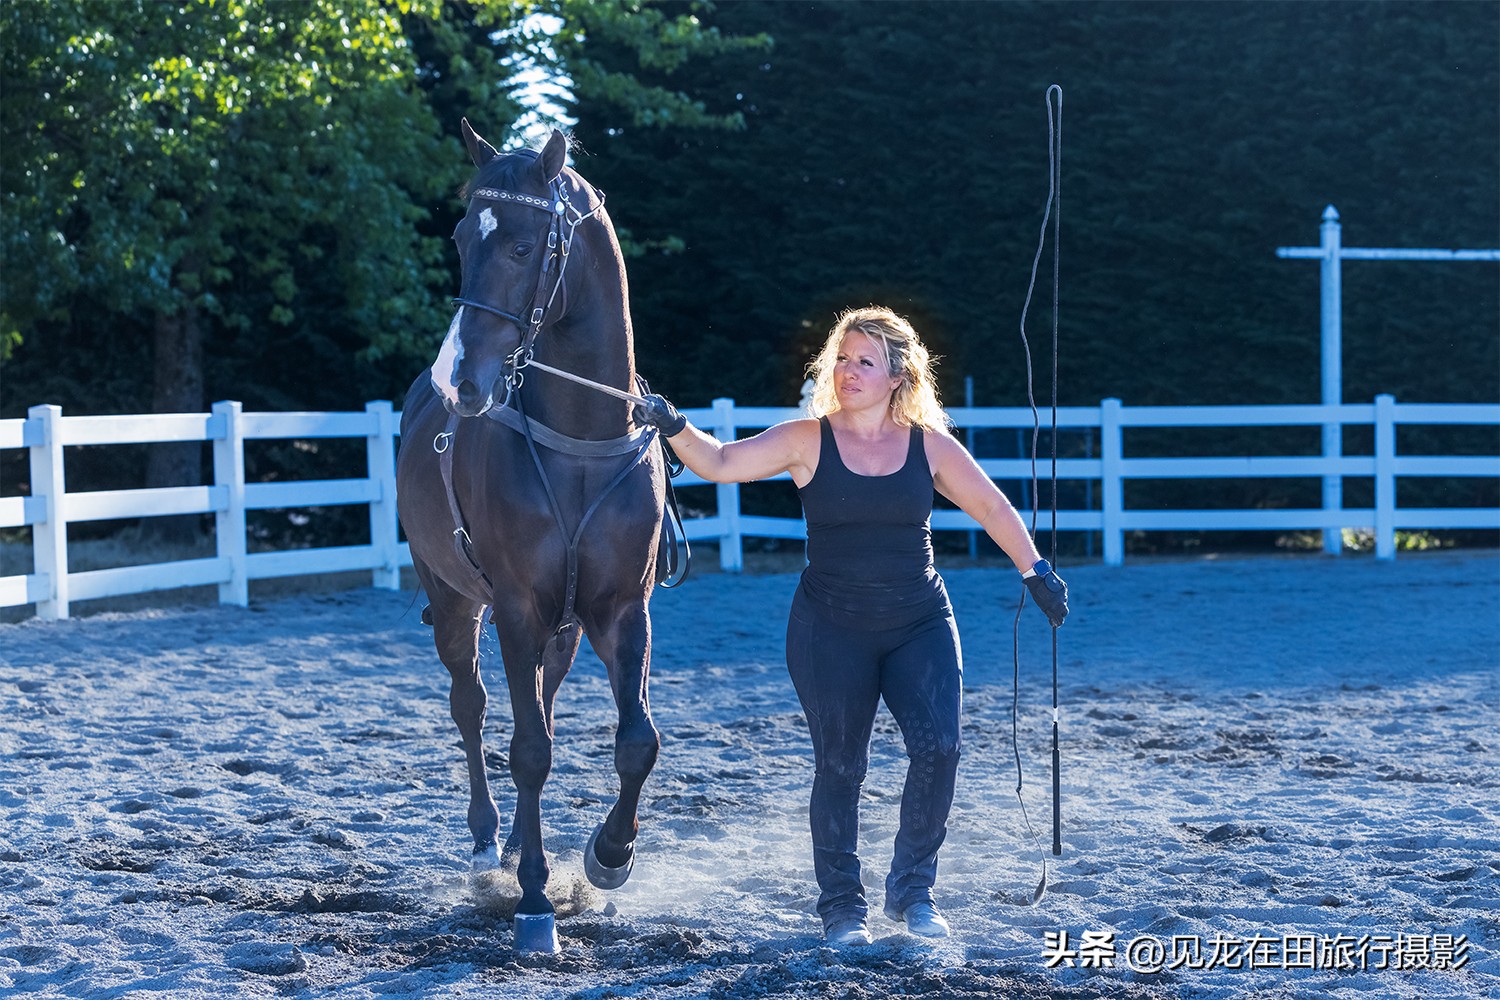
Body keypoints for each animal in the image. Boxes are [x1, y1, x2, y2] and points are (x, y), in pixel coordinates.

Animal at [396, 125, 666, 953]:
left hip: (565, 630)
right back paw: (492, 842)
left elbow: (635, 740)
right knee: (475, 707)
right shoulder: (515, 609)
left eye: (521, 244)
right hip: (455, 602)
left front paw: (610, 855)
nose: (461, 377)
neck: (581, 442)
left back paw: (519, 842)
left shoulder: (622, 612)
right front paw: (538, 904)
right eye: (460, 238)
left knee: (539, 702)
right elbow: (528, 751)